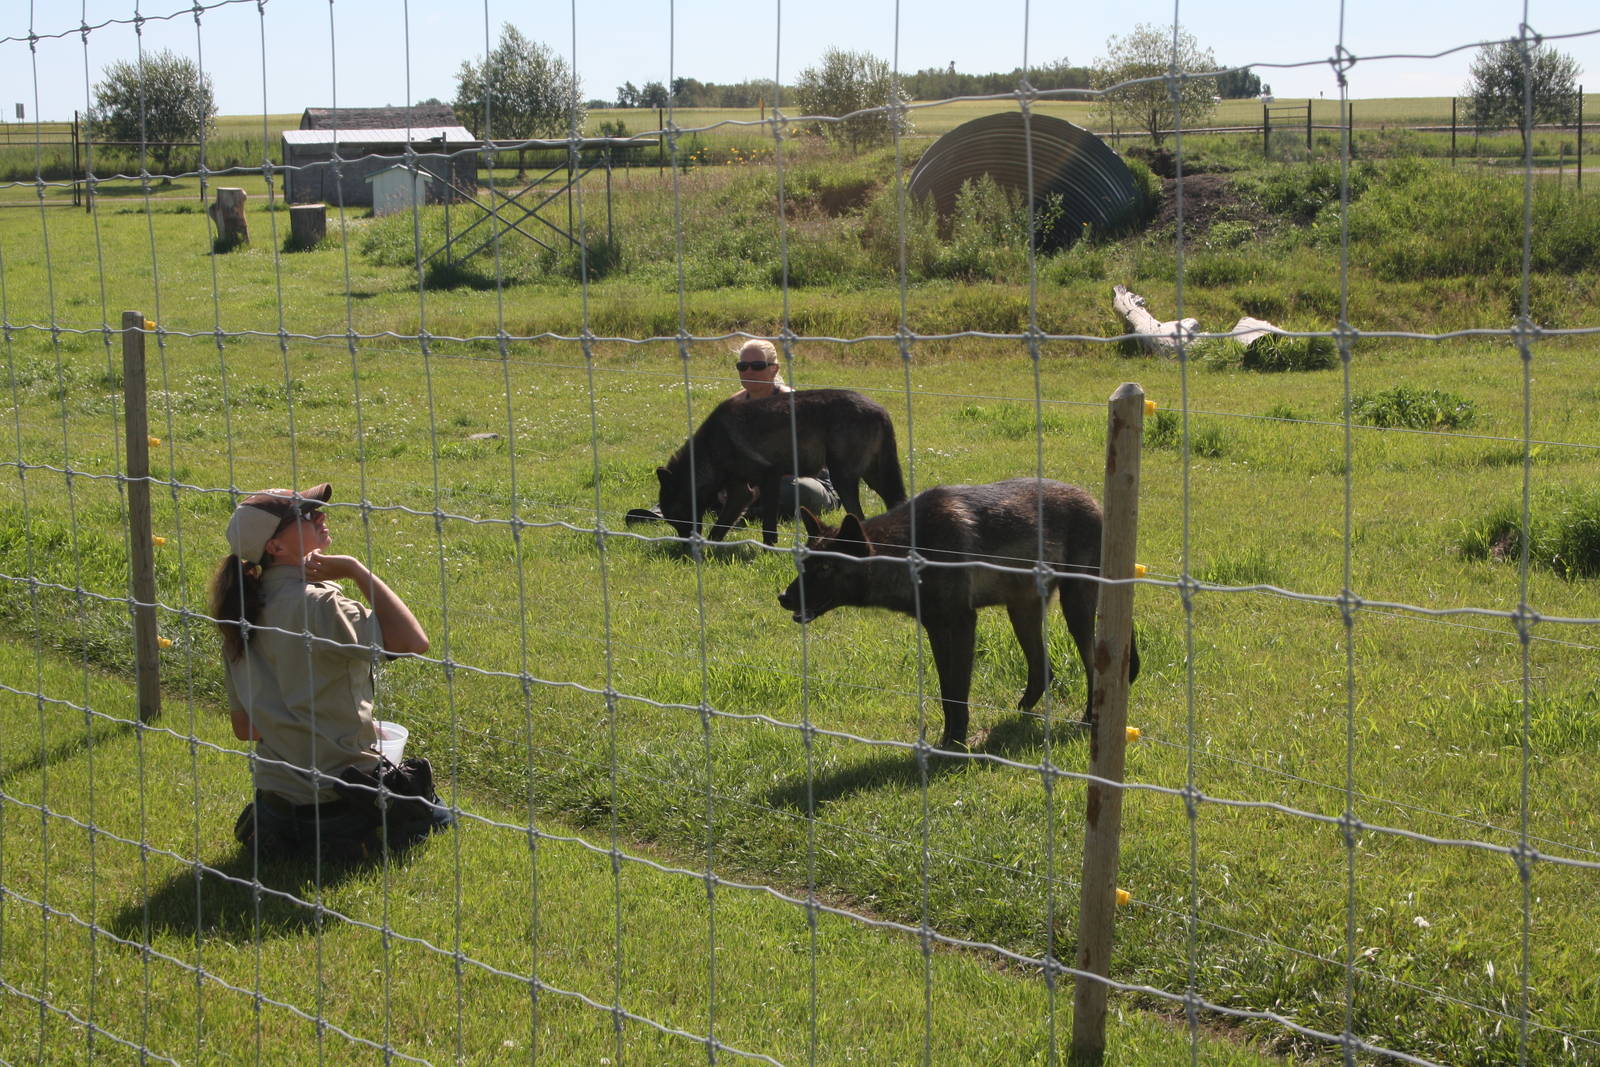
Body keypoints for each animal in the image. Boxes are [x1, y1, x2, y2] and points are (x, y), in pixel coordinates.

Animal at [656, 388, 907, 546]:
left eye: (676, 514)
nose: (685, 548)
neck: (711, 448)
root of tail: (881, 410)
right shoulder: (743, 492)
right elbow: (721, 526)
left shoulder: (765, 480)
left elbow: (765, 525)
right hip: (875, 478)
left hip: (843, 479)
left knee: (860, 515)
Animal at [776, 478, 1139, 749]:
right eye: (803, 565)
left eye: (825, 569)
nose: (783, 597)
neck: (911, 552)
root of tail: (1094, 502)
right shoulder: (936, 629)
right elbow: (946, 692)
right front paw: (947, 740)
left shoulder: (964, 624)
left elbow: (959, 692)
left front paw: (958, 744)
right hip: (1022, 613)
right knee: (1044, 670)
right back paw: (1019, 716)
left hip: (1076, 611)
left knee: (1091, 665)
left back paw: (1089, 719)